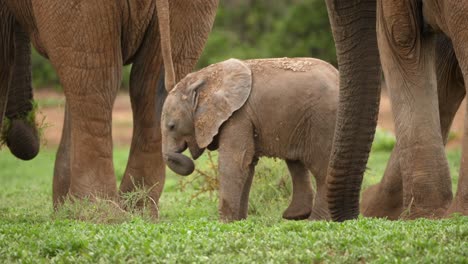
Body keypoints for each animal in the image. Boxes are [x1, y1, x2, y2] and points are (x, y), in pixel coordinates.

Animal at [161, 58, 336, 223]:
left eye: (172, 126)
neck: (203, 78)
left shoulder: (238, 115)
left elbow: (233, 163)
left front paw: (224, 223)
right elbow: (247, 165)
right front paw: (238, 221)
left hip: (322, 121)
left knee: (321, 169)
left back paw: (316, 220)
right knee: (296, 162)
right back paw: (297, 215)